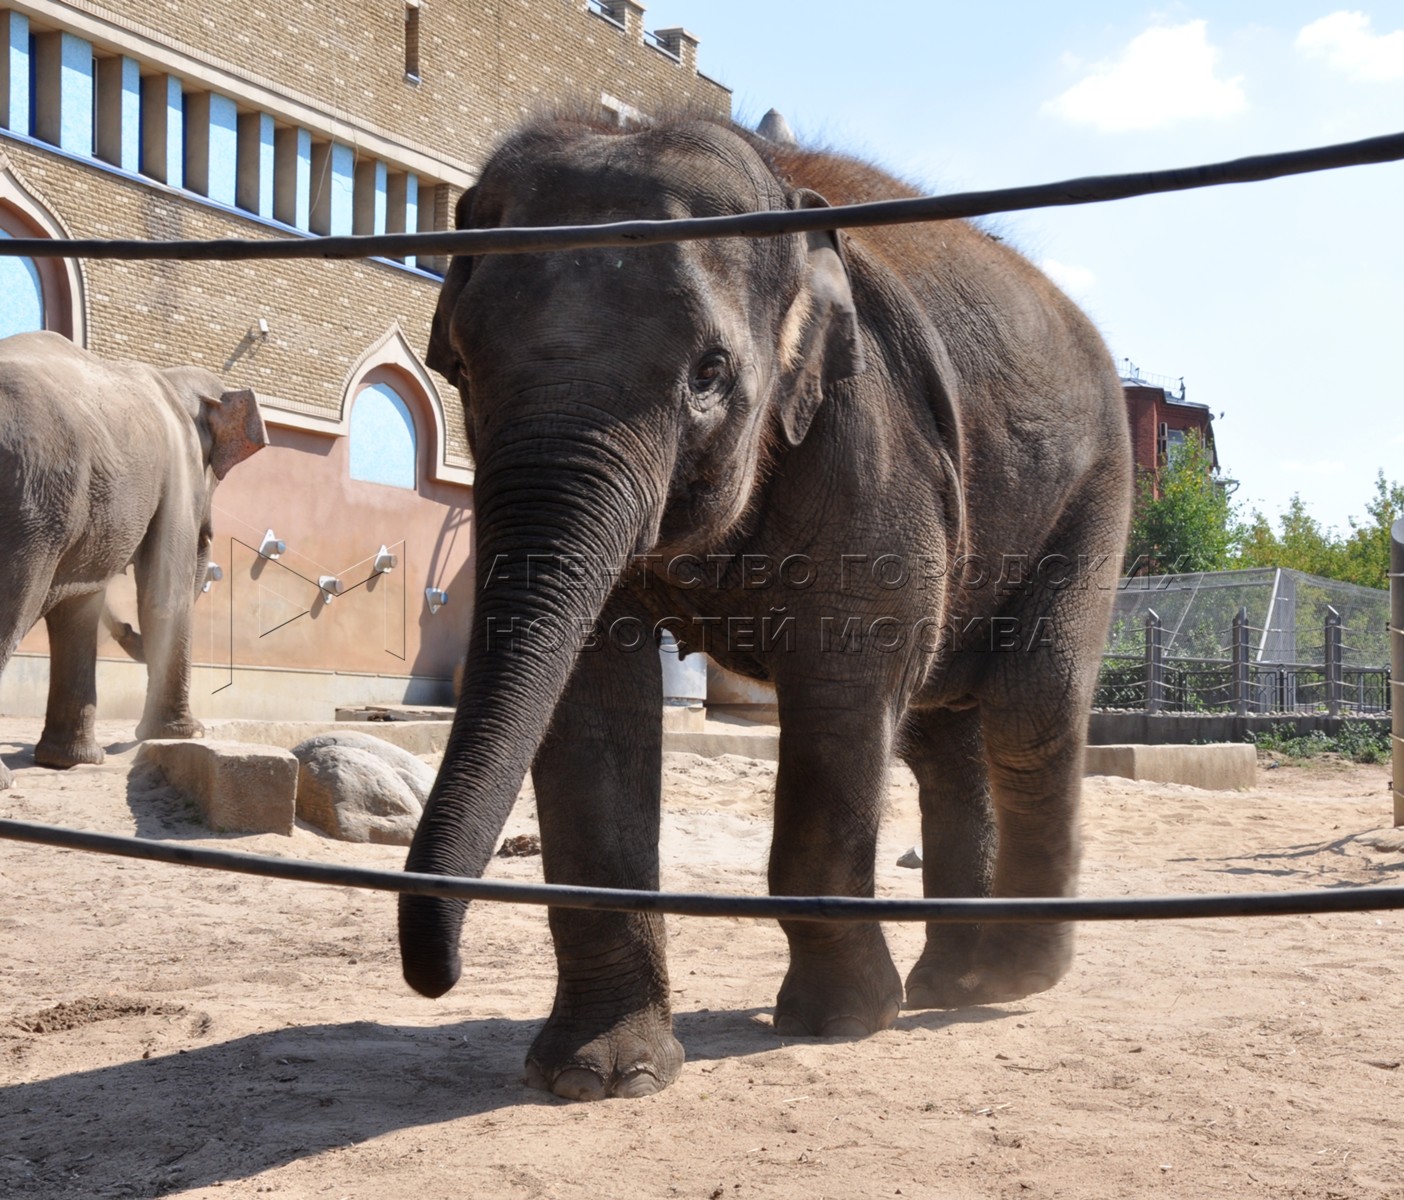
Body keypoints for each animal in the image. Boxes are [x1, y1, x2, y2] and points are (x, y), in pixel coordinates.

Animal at [0, 332, 265, 791]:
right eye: (215, 475)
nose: (124, 628)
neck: (172, 376)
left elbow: (81, 604)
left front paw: (71, 762)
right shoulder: (177, 469)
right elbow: (164, 592)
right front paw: (186, 733)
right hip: (30, 496)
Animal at [404, 117, 1128, 1100]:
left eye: (711, 372)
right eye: (460, 368)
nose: (439, 975)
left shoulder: (872, 439)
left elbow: (845, 683)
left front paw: (843, 1022)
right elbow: (589, 702)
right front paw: (603, 1076)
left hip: (1095, 490)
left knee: (1029, 705)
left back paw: (1009, 980)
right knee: (941, 732)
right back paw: (953, 981)